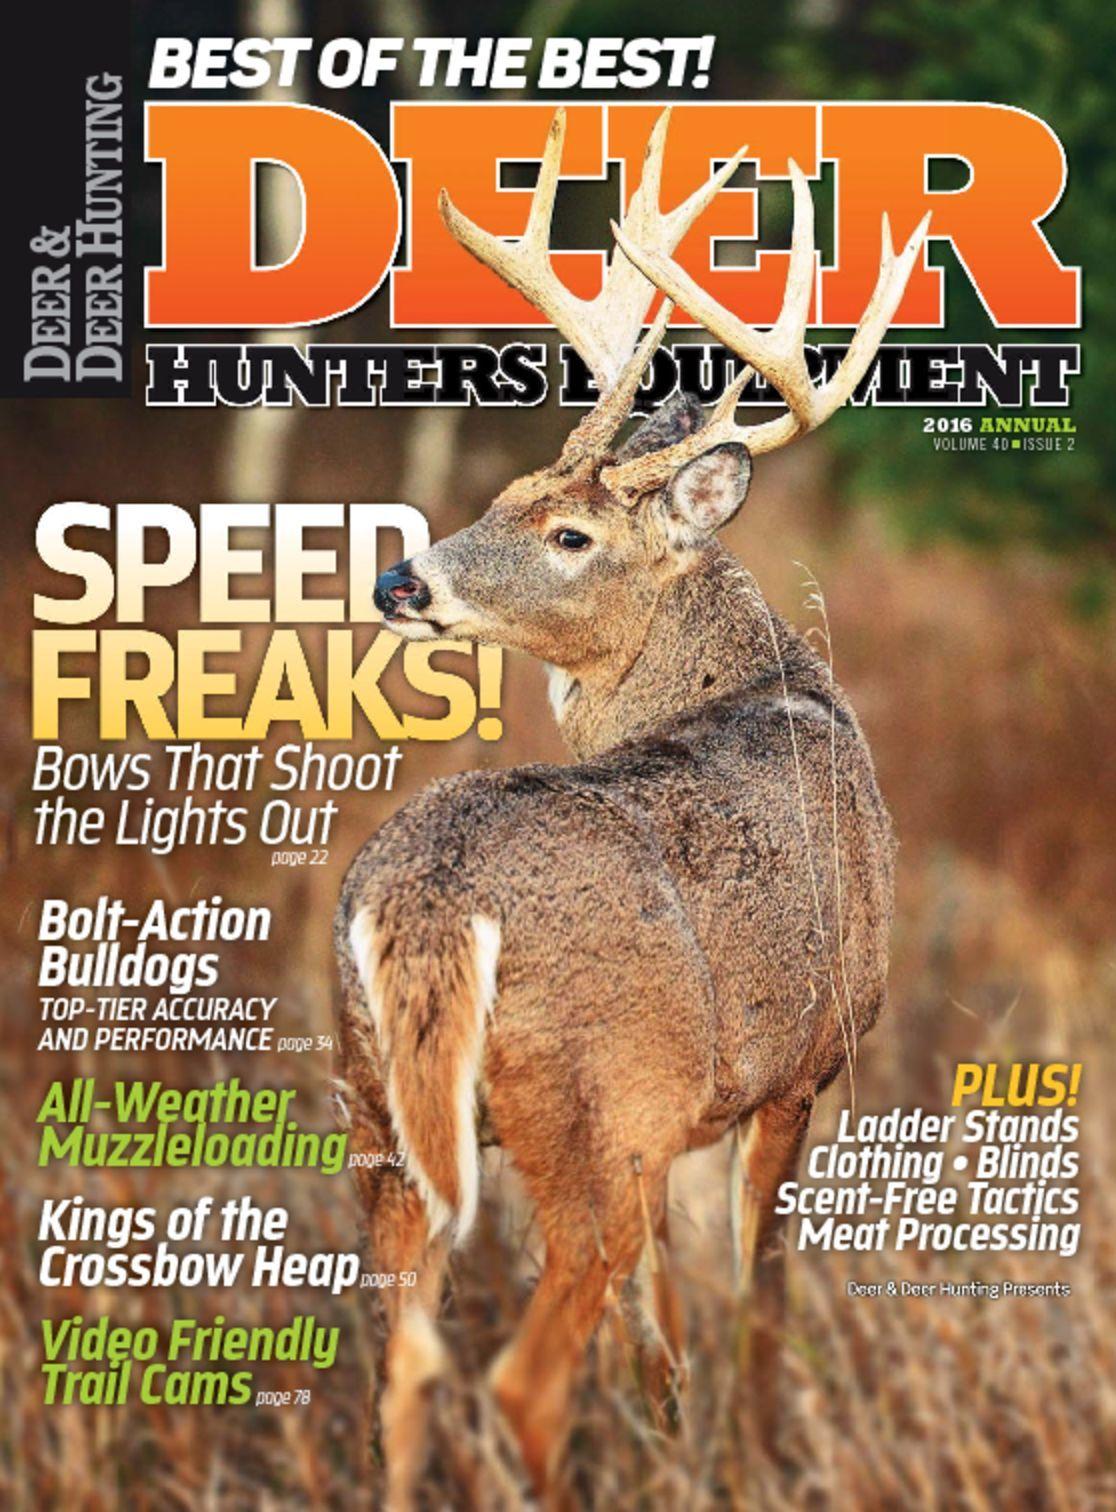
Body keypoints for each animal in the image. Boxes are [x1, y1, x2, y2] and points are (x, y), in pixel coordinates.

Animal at [334, 106, 929, 1507]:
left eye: (565, 532)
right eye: (505, 497)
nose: (398, 579)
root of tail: (429, 911)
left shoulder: (686, 1123)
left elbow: (663, 1331)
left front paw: (676, 1442)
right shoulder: (801, 1066)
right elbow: (758, 1299)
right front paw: (757, 1459)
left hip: (382, 1118)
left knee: (400, 1370)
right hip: (581, 1125)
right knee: (521, 1380)